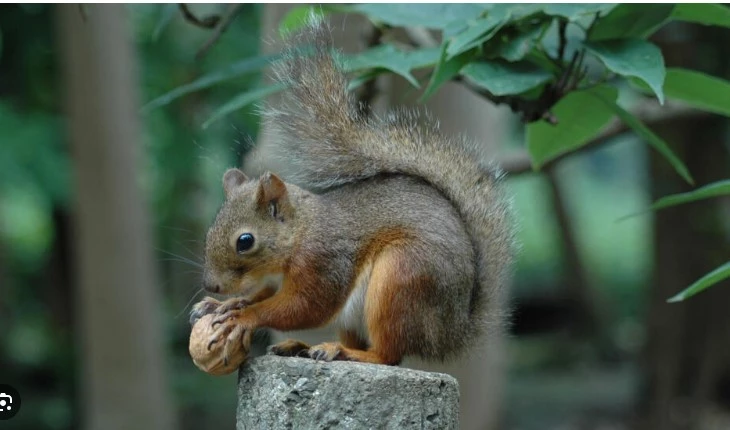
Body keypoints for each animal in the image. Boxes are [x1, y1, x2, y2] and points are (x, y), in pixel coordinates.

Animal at [190, 19, 515, 366]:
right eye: (210, 231)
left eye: (245, 241)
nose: (211, 285)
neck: (300, 234)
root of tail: (450, 333)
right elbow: (261, 296)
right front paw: (224, 305)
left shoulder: (323, 263)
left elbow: (303, 308)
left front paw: (243, 317)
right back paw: (303, 347)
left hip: (401, 278)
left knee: (388, 355)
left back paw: (345, 351)